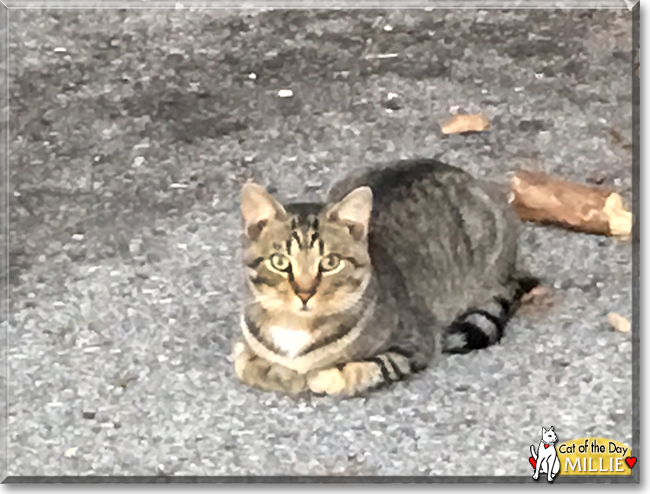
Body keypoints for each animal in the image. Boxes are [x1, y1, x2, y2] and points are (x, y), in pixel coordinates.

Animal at [230, 158, 536, 398]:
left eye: (330, 262)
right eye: (280, 262)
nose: (304, 293)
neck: (295, 329)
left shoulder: (416, 342)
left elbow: (367, 368)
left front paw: (319, 377)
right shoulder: (245, 348)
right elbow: (244, 363)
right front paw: (279, 373)